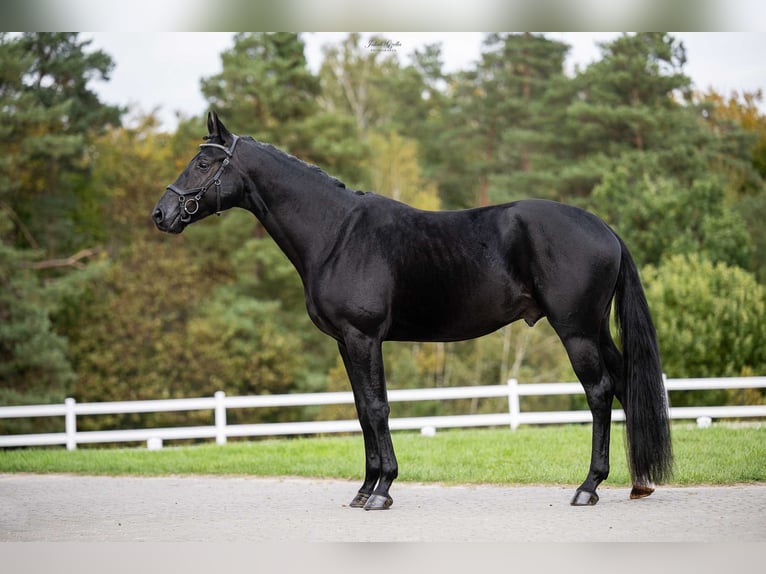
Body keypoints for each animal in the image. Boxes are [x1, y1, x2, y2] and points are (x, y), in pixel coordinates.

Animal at [154, 112, 672, 508]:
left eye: (203, 162)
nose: (161, 214)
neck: (337, 233)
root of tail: (604, 228)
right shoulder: (346, 342)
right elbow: (362, 410)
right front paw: (364, 489)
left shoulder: (364, 337)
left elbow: (377, 407)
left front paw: (382, 490)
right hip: (595, 329)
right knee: (625, 383)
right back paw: (638, 483)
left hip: (576, 330)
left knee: (600, 391)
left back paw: (588, 487)